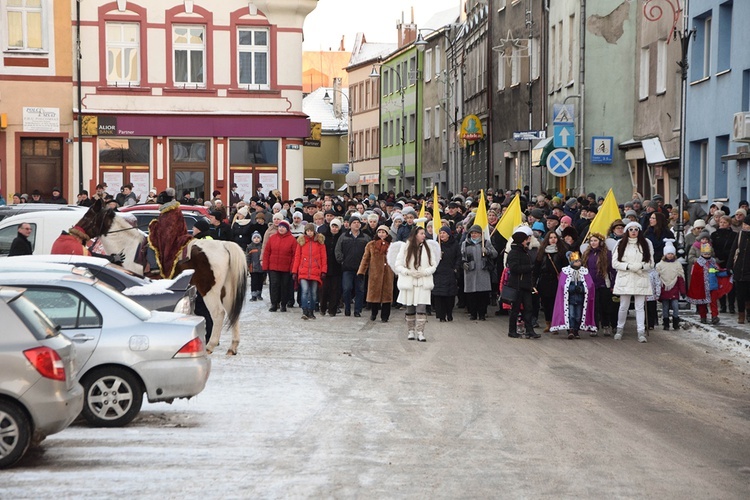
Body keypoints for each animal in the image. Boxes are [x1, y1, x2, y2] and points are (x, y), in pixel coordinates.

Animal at [97, 213, 247, 354]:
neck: (128, 246)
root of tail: (223, 244)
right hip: (227, 290)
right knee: (232, 311)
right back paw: (232, 346)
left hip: (209, 290)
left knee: (218, 313)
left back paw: (210, 345)